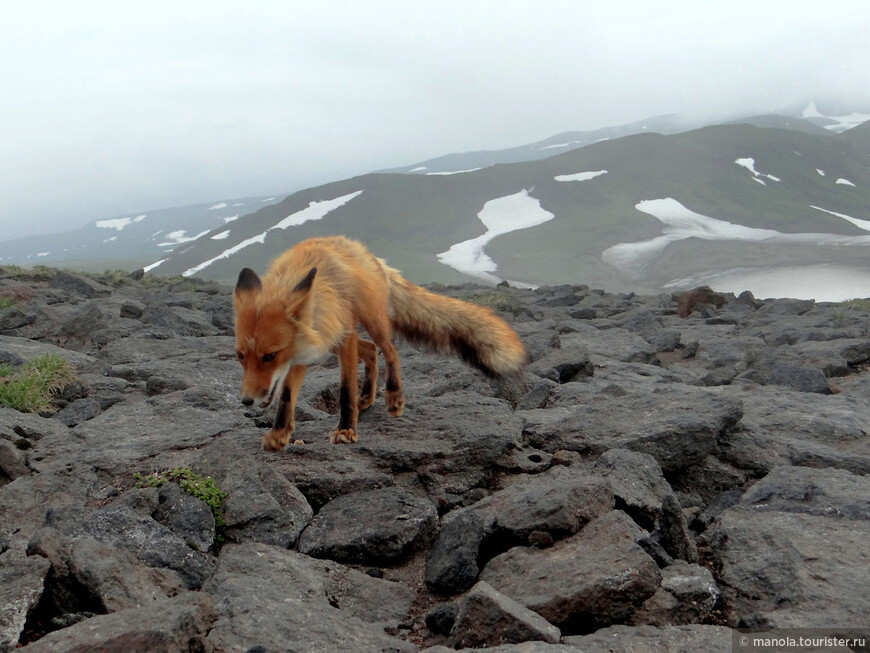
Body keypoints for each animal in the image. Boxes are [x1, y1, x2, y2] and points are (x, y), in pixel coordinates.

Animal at [233, 234, 524, 448]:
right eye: (240, 357)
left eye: (270, 356)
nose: (246, 401)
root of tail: (366, 253)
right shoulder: (303, 350)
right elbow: (285, 397)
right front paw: (280, 434)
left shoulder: (341, 337)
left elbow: (345, 391)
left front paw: (346, 430)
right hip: (341, 337)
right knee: (372, 350)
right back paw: (368, 396)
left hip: (372, 322)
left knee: (389, 349)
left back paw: (393, 396)